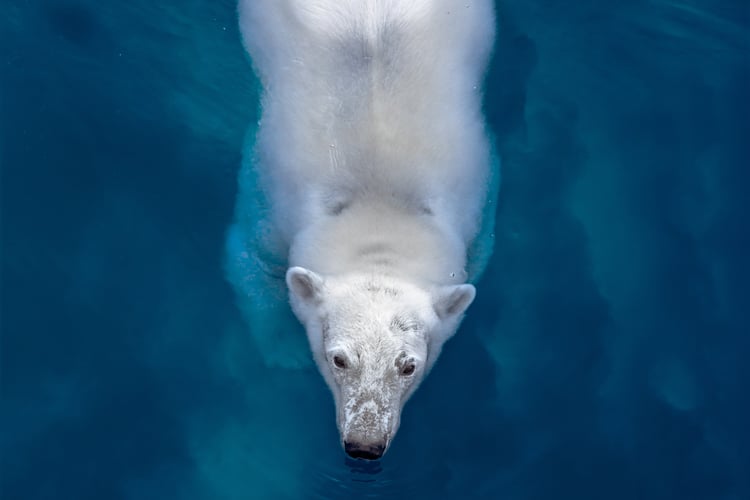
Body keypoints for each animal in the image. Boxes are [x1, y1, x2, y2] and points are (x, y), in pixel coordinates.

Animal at [227, 0, 498, 459]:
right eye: (338, 358)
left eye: (408, 365)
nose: (365, 446)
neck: (380, 204)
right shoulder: (270, 204)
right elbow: (250, 259)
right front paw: (284, 349)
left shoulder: (476, 213)